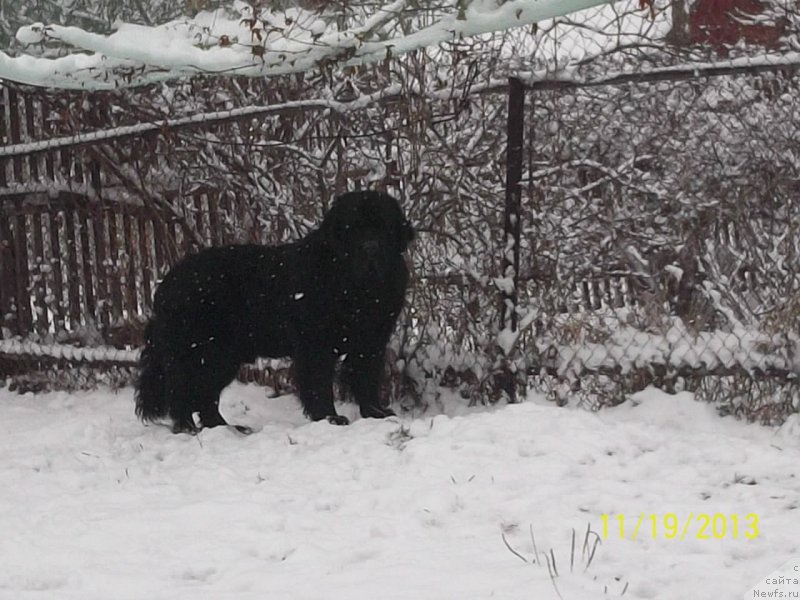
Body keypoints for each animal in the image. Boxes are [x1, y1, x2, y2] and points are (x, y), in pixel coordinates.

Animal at [134, 190, 416, 434]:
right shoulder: (315, 345)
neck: (355, 287)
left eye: (384, 227)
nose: (371, 248)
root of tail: (166, 283)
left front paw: (376, 413)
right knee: (181, 389)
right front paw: (329, 418)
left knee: (205, 394)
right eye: (353, 229)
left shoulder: (371, 341)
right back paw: (188, 429)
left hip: (222, 355)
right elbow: (319, 383)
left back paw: (227, 428)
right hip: (196, 350)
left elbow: (366, 377)